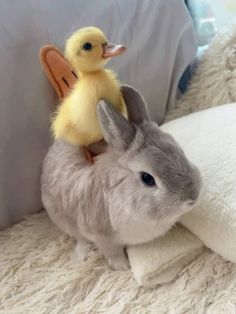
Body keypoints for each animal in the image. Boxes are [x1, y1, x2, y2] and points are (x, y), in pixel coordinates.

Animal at [41, 86, 201, 270]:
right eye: (147, 178)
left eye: (180, 151)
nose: (193, 197)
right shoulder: (102, 237)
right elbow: (112, 253)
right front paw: (123, 267)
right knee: (80, 239)